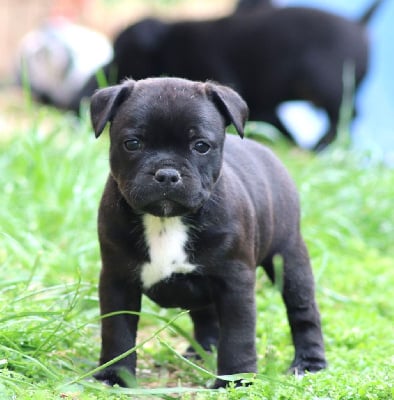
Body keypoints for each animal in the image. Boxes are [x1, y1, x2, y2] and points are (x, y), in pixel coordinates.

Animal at [73, 0, 382, 151]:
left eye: (121, 52)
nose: (100, 79)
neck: (169, 43)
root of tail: (360, 24)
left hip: (328, 83)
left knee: (345, 115)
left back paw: (320, 146)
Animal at [90, 76, 326, 388]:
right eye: (132, 144)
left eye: (201, 146)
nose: (167, 173)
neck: (166, 221)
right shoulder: (117, 279)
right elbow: (117, 330)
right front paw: (115, 375)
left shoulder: (235, 283)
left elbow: (238, 335)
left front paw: (235, 379)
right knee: (206, 316)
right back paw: (201, 353)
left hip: (289, 259)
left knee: (302, 310)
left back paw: (309, 364)